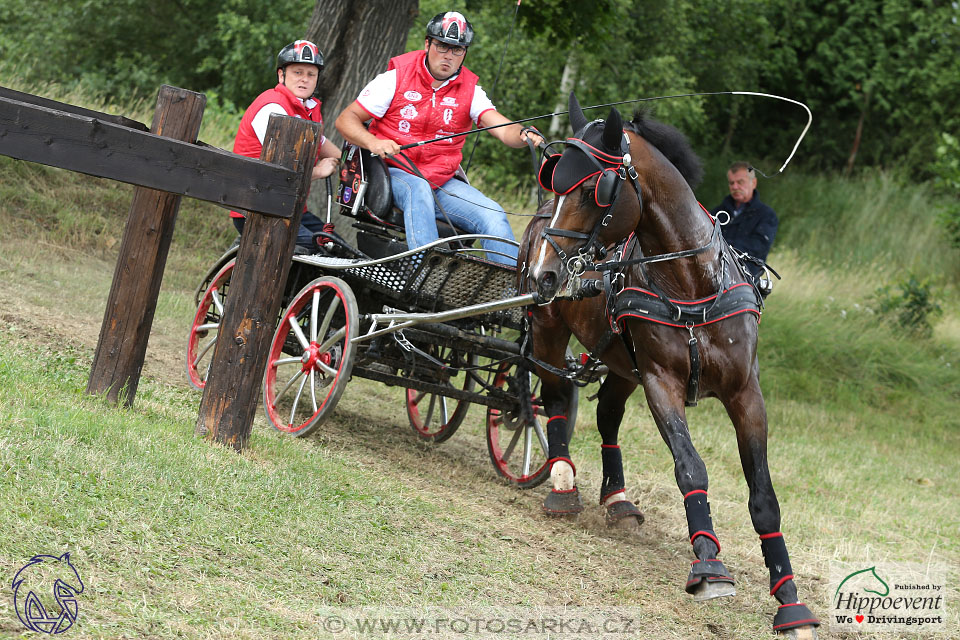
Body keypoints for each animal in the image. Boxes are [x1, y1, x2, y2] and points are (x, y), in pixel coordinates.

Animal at [520, 92, 820, 636]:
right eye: (554, 182)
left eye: (595, 190)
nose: (545, 273)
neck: (692, 284)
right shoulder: (662, 383)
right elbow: (691, 468)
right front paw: (709, 567)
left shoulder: (746, 393)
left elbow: (764, 498)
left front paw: (790, 604)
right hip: (551, 334)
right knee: (552, 397)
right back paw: (562, 482)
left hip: (621, 362)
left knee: (607, 415)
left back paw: (616, 498)